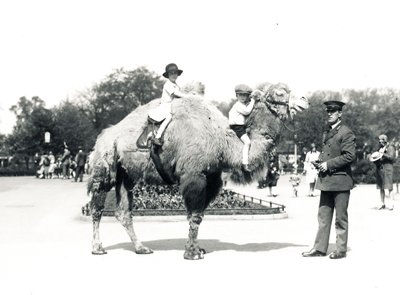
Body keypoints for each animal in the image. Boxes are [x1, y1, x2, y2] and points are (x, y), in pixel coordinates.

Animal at [88, 82, 310, 260]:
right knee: (97, 206)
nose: (305, 100)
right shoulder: (194, 175)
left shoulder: (212, 179)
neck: (223, 142)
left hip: (127, 175)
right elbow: (194, 215)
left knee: (123, 212)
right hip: (104, 165)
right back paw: (98, 248)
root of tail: (105, 134)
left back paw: (141, 248)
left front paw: (196, 248)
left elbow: (199, 215)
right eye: (280, 92)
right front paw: (192, 253)